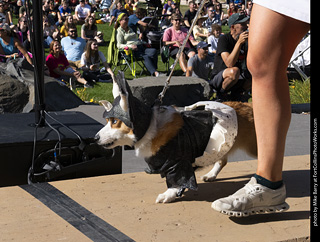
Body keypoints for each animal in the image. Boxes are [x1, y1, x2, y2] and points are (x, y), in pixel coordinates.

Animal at [95, 72, 258, 204]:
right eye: (108, 121)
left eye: (115, 122)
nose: (95, 138)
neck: (150, 127)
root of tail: (250, 106)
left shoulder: (179, 164)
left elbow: (177, 181)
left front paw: (168, 195)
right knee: (222, 160)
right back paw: (211, 175)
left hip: (253, 147)